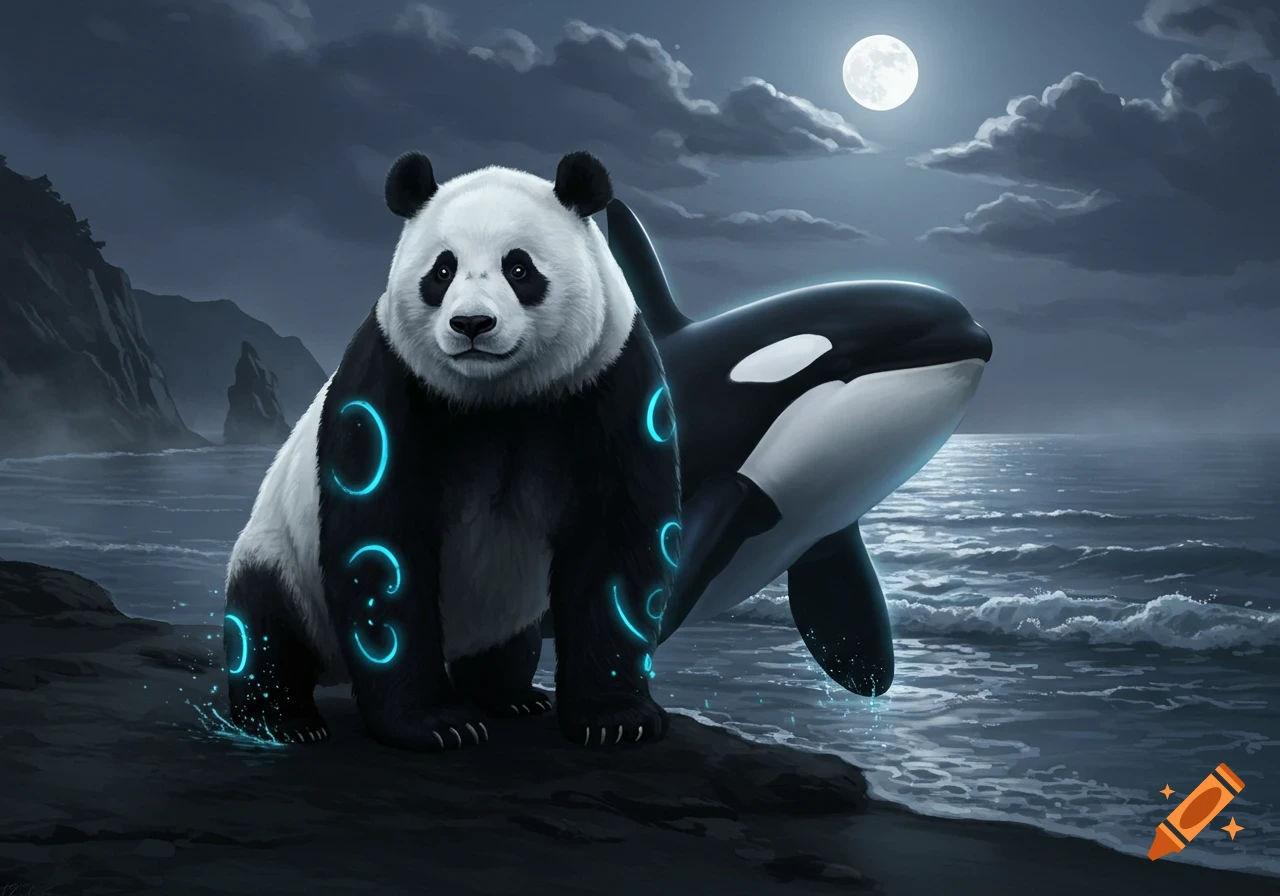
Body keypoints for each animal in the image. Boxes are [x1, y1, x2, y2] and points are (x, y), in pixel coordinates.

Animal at [223, 150, 681, 752]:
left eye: (519, 268)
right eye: (442, 271)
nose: (472, 324)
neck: (499, 395)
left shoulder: (607, 379)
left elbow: (618, 537)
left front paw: (616, 718)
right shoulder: (392, 381)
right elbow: (381, 547)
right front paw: (435, 723)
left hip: (507, 607)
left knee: (508, 642)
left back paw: (510, 694)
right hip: (281, 558)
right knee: (263, 625)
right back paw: (285, 721)